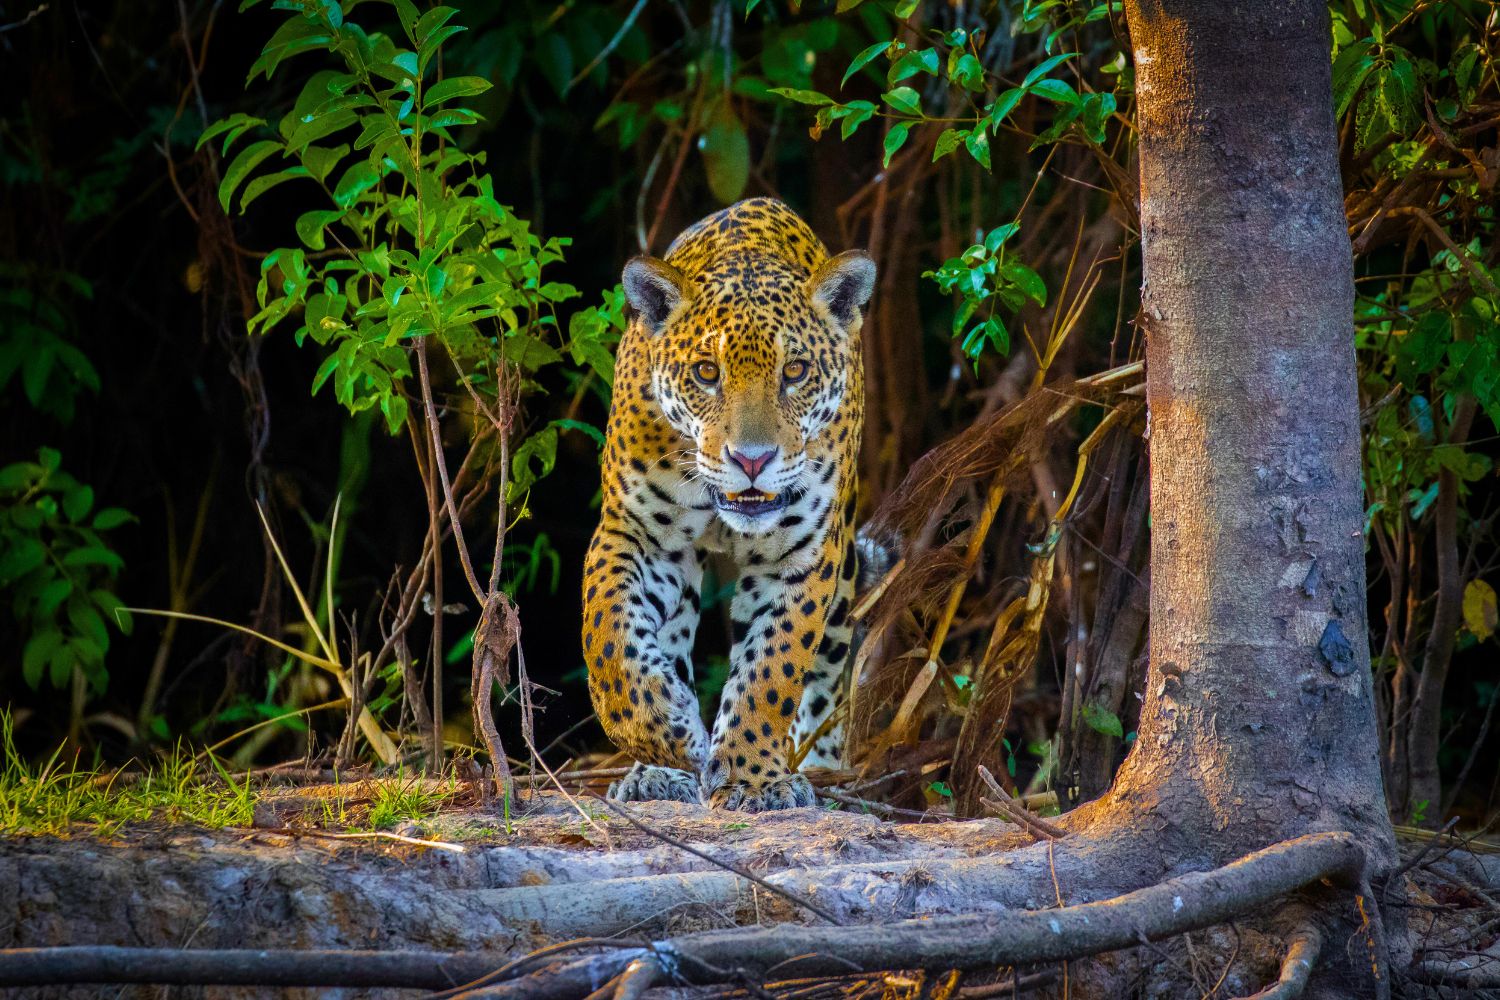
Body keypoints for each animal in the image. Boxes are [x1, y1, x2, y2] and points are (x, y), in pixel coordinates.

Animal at [582, 197, 877, 812]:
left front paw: (751, 778)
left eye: (795, 372)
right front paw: (668, 732)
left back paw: (819, 766)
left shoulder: (802, 556)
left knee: (825, 678)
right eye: (706, 373)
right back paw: (658, 770)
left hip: (843, 577)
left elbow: (772, 668)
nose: (752, 460)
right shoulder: (636, 536)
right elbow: (609, 641)